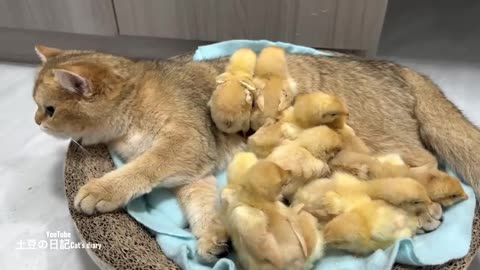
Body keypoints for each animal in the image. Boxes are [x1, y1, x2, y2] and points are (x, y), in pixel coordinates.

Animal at [32, 44, 480, 262]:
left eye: (50, 108)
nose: (36, 121)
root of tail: (400, 67)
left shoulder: (184, 144)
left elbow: (142, 169)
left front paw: (101, 188)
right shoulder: (195, 172)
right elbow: (201, 206)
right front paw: (212, 239)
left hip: (383, 142)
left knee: (431, 164)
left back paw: (426, 209)